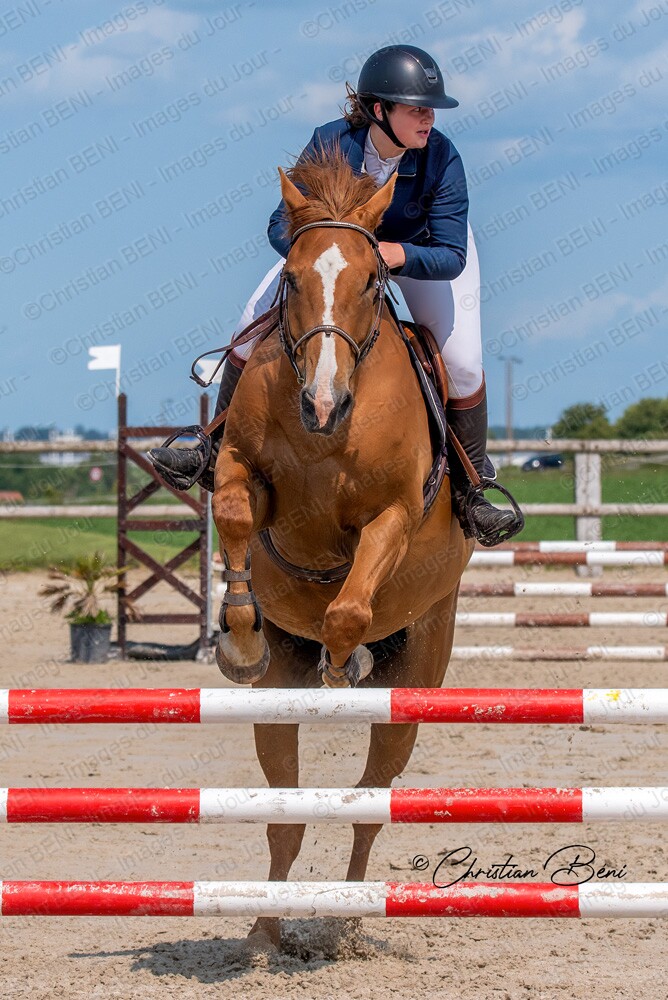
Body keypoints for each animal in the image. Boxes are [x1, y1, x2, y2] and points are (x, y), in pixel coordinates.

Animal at [211, 147, 474, 949]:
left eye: (371, 282)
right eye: (293, 278)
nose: (323, 406)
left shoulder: (392, 516)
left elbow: (350, 608)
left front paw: (341, 659)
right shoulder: (241, 469)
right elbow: (234, 514)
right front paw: (239, 636)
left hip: (419, 672)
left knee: (369, 798)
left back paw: (350, 923)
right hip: (275, 702)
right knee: (288, 812)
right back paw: (266, 931)